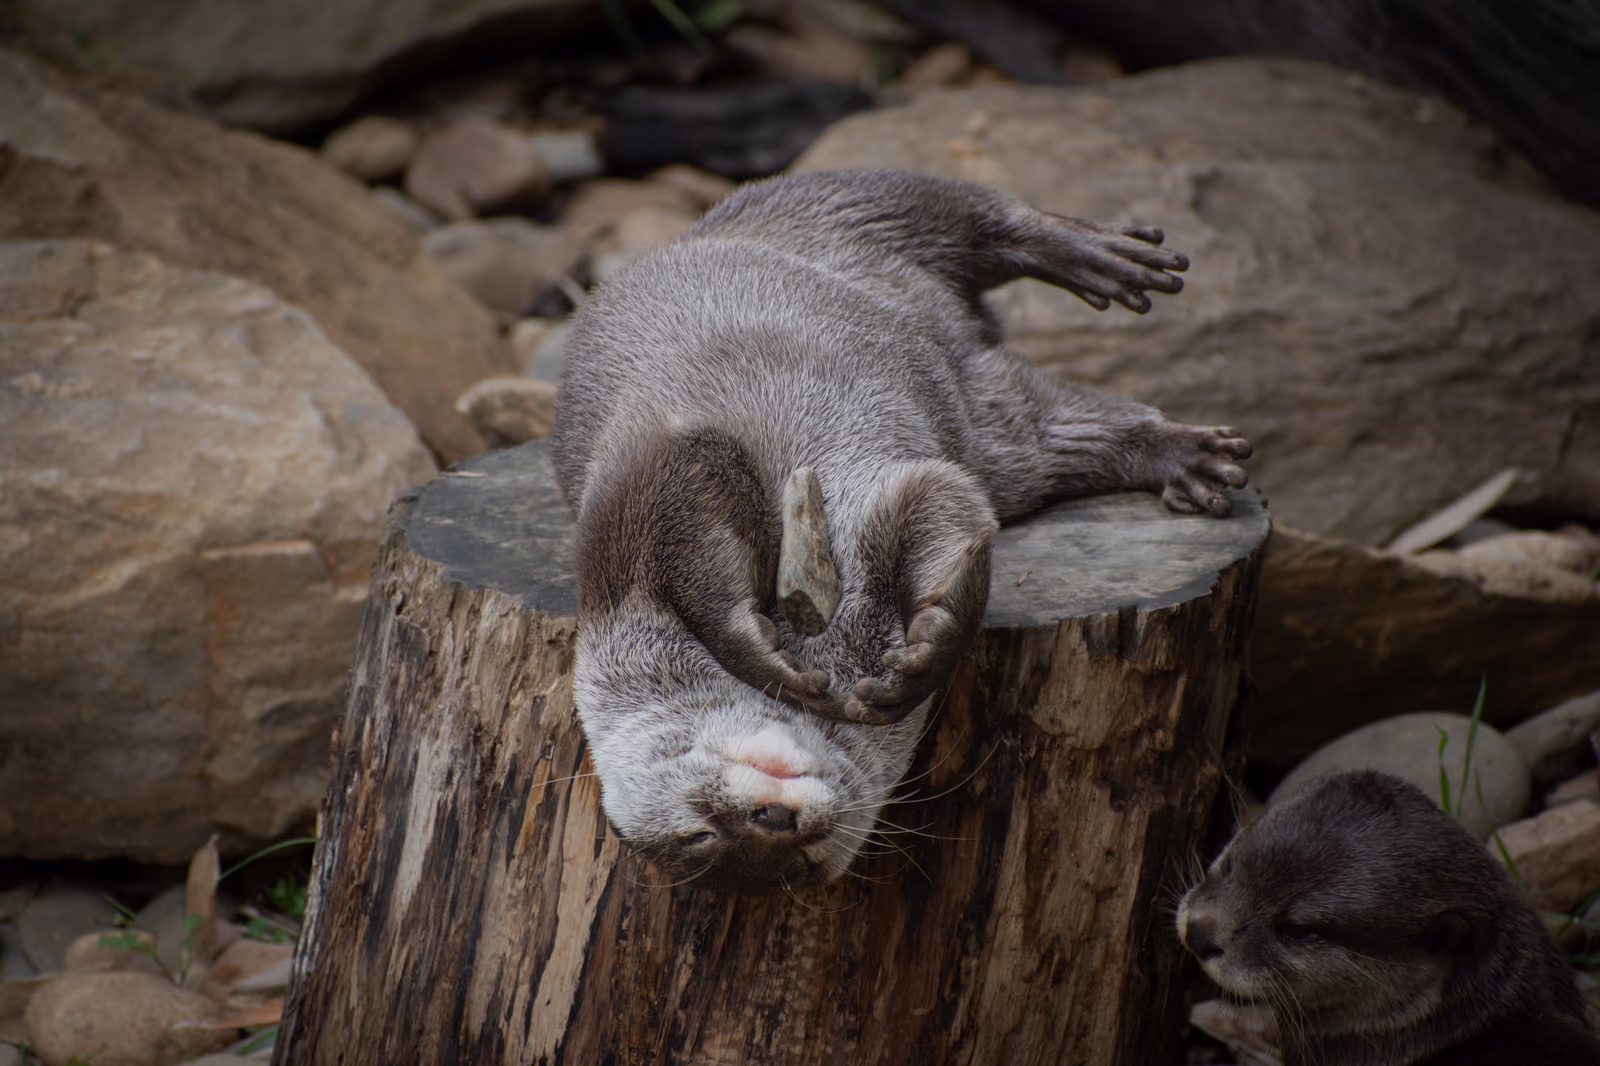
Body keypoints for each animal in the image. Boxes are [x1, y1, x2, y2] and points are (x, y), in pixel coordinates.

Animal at [551, 169, 1252, 893]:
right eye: (702, 839)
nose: (775, 823)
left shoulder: (661, 485)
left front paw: (904, 662)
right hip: (1001, 432)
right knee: (1064, 422)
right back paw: (1182, 455)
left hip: (830, 209)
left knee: (952, 208)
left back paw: (1095, 253)